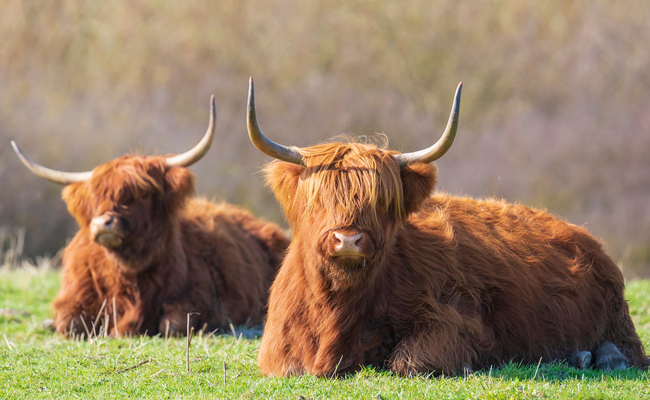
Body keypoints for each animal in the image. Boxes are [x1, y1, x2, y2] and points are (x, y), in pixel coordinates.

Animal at [12, 96, 290, 338]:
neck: (129, 276)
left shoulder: (198, 300)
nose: (102, 223)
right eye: (94, 198)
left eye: (141, 192)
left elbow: (172, 324)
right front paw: (51, 323)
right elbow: (69, 325)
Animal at [244, 78, 649, 377]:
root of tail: (585, 237)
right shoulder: (278, 352)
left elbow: (409, 361)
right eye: (317, 199)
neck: (338, 306)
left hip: (617, 322)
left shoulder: (456, 320)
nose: (348, 239)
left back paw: (596, 357)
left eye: (382, 201)